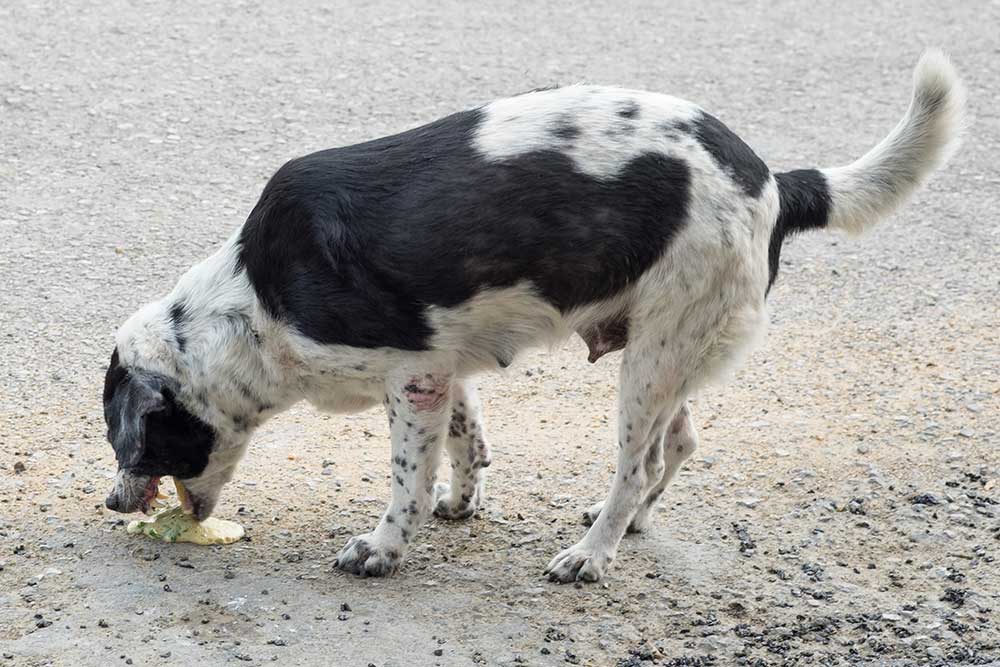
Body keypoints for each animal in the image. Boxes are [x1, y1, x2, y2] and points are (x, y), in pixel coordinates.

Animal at [99, 52, 960, 580]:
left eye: (126, 440)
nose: (110, 504)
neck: (253, 300)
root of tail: (774, 179)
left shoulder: (410, 377)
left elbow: (406, 478)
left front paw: (384, 546)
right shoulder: (441, 370)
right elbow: (467, 442)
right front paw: (460, 504)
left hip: (653, 360)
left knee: (638, 461)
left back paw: (592, 553)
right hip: (670, 349)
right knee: (678, 441)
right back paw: (627, 524)